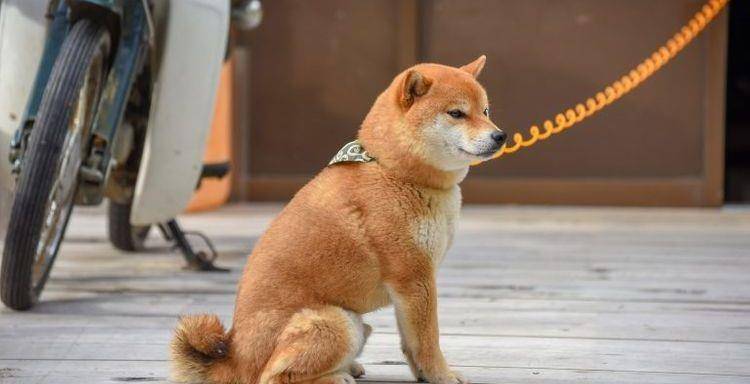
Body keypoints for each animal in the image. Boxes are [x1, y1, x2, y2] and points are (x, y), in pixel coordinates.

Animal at [172, 56, 506, 384]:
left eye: (485, 111)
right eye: (457, 113)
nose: (500, 136)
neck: (394, 170)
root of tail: (233, 360)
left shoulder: (410, 288)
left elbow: (411, 344)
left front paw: (424, 374)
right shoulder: (414, 277)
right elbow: (427, 340)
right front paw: (441, 375)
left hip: (356, 324)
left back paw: (349, 367)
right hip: (336, 321)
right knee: (273, 376)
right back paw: (336, 377)